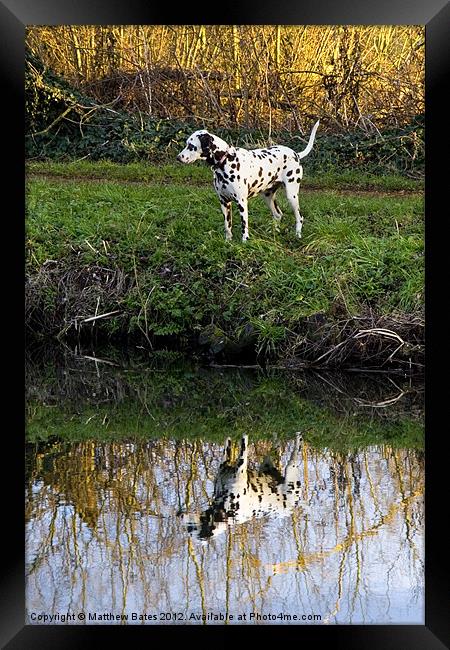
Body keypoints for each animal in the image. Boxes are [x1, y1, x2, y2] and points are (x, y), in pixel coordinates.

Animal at [177, 119, 320, 240]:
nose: (178, 157)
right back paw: (274, 232)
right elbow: (227, 226)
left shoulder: (241, 202)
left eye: (191, 146)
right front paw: (228, 241)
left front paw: (245, 240)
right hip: (268, 196)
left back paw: (298, 235)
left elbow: (244, 225)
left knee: (299, 217)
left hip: (292, 196)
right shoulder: (224, 202)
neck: (226, 160)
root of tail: (296, 154)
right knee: (278, 214)